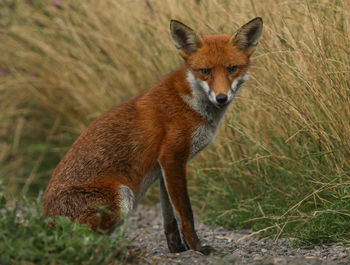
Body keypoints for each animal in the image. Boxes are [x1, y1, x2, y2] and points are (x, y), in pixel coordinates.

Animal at [43, 17, 262, 254]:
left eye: (232, 68)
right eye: (205, 70)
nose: (221, 98)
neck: (191, 102)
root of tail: (44, 220)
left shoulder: (163, 167)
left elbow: (170, 217)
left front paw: (177, 248)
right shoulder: (172, 157)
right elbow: (186, 214)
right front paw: (197, 247)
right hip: (121, 196)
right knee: (78, 240)